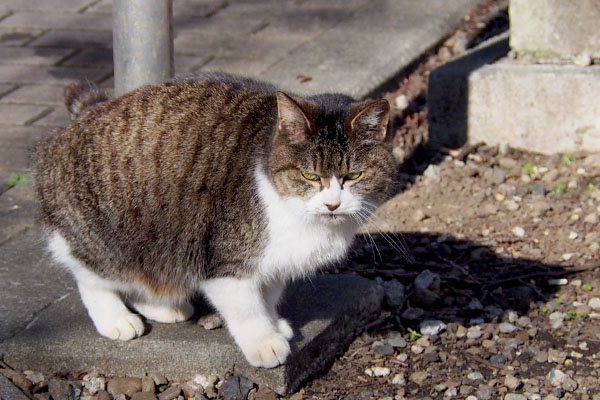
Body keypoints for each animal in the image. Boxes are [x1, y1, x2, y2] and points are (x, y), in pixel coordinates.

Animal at [34, 72, 398, 368]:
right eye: (310, 175)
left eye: (354, 175)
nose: (332, 204)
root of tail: (81, 118)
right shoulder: (225, 261)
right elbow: (246, 308)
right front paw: (264, 342)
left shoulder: (275, 262)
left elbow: (268, 295)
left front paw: (274, 323)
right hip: (106, 238)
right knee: (92, 276)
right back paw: (116, 318)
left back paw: (162, 306)